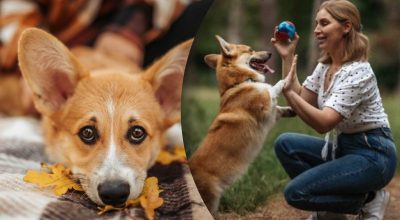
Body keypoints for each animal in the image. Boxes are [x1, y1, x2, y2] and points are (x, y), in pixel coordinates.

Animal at [188, 35, 294, 214]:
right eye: (250, 50)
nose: (270, 53)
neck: (239, 82)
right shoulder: (264, 104)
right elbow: (270, 88)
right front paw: (285, 80)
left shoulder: (271, 114)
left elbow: (279, 109)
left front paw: (291, 110)